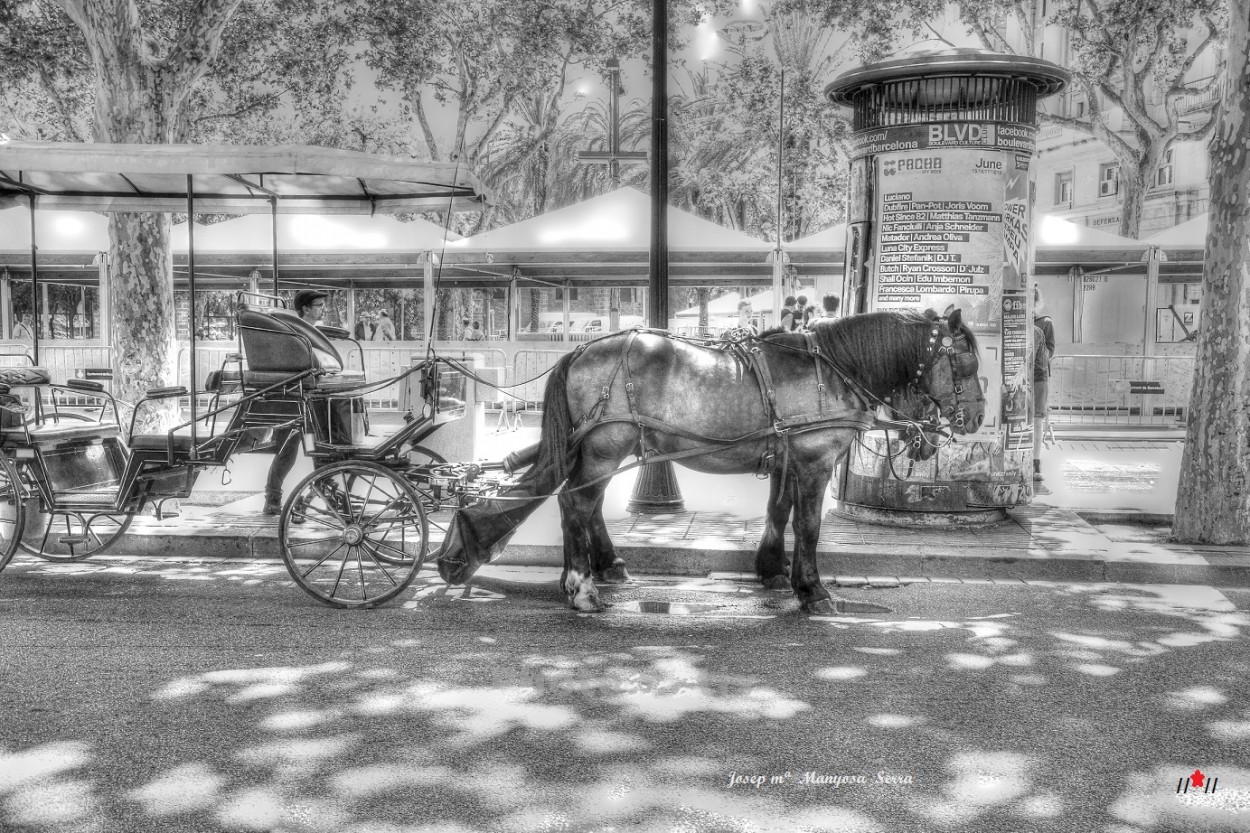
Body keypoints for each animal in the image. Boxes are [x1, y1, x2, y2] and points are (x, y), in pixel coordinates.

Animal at [440, 307, 985, 612]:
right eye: (965, 363)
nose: (977, 418)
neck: (834, 368)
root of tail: (580, 350)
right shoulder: (813, 462)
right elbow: (808, 524)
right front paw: (812, 590)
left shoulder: (787, 457)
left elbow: (778, 511)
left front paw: (772, 571)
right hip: (607, 446)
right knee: (577, 505)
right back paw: (581, 588)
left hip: (607, 446)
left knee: (586, 506)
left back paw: (604, 567)